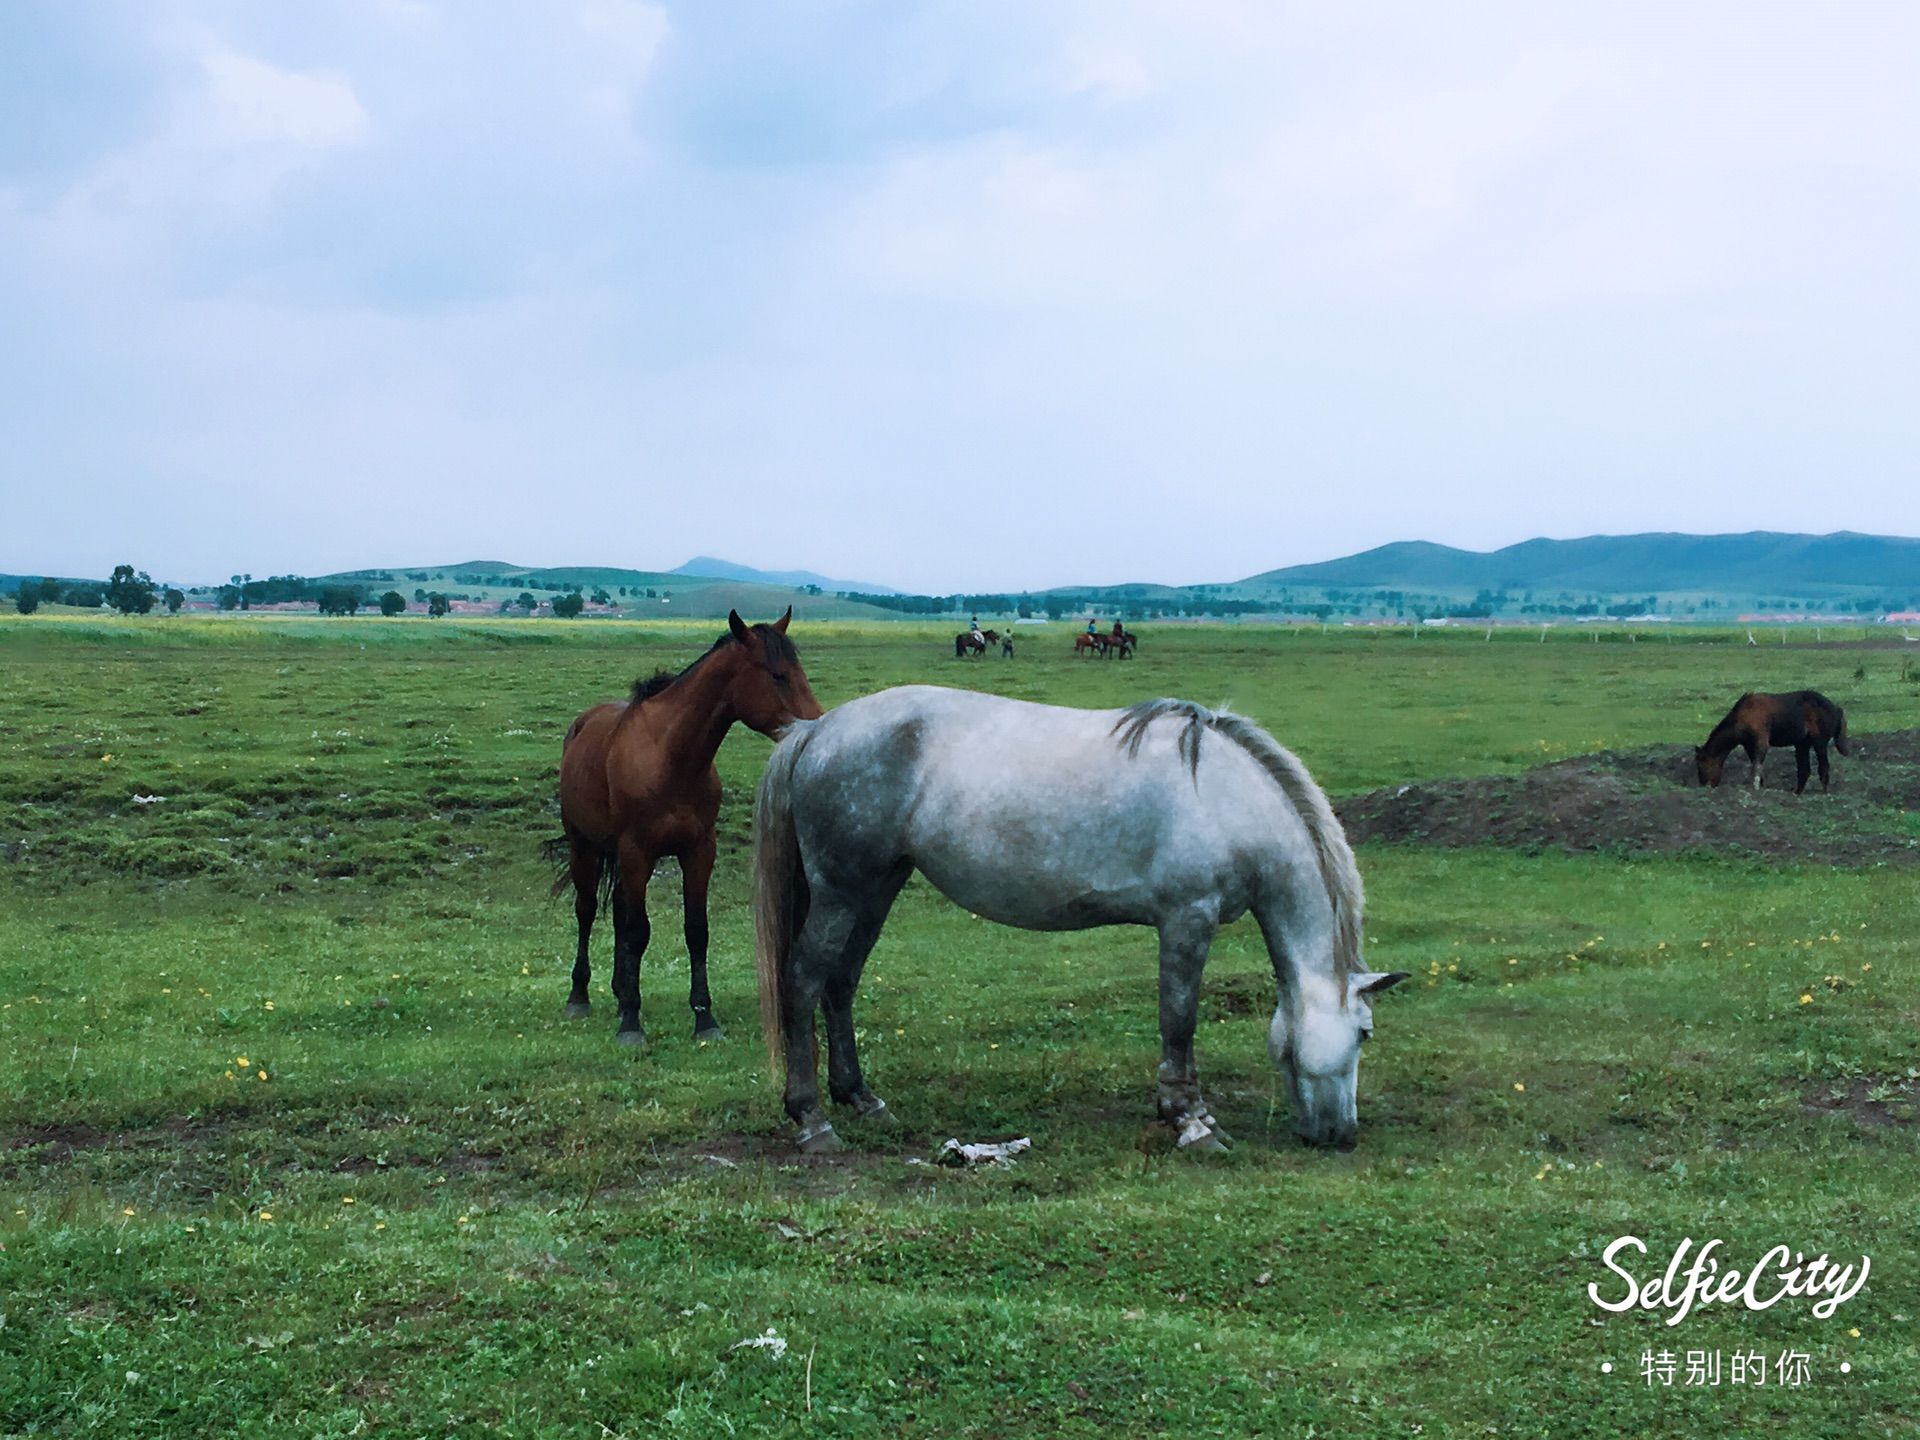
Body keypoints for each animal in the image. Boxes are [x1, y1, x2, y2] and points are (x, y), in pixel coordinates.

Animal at [556, 610, 825, 1052]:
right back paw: (580, 996)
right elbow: (638, 931)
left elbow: (695, 931)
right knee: (587, 911)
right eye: (778, 675)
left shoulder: (699, 851)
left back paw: (620, 992)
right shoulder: (636, 851)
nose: (817, 727)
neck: (671, 758)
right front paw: (631, 1024)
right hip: (585, 846)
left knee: (618, 916)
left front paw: (704, 1018)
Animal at [752, 691, 1413, 1159]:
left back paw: (863, 1100)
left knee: (841, 983)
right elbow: (1179, 1021)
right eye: (1364, 1033)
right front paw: (1191, 1120)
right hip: (843, 892)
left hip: (876, 889)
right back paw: (813, 1120)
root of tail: (815, 731)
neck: (1227, 797)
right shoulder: (1187, 921)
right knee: (804, 981)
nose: (1341, 1135)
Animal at [1697, 691, 1843, 794]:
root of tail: (1837, 709)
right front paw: (1763, 786)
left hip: (1819, 742)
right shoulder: (1748, 744)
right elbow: (1757, 765)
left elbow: (1757, 765)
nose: (1703, 784)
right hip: (1802, 744)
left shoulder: (1761, 740)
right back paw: (1797, 793)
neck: (1740, 720)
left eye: (1702, 763)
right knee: (1804, 770)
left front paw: (1755, 787)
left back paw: (1824, 793)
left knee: (1823, 767)